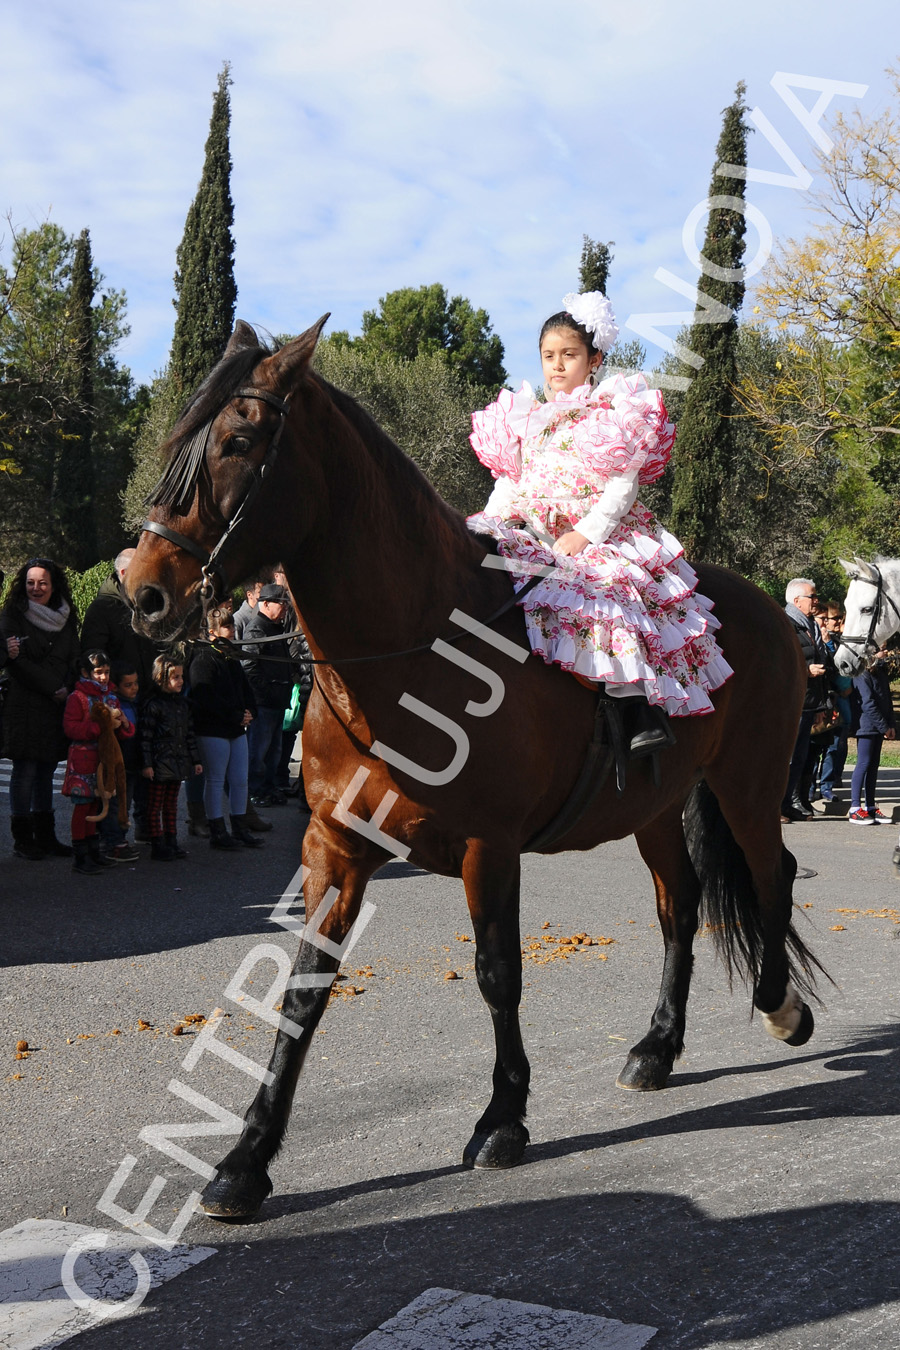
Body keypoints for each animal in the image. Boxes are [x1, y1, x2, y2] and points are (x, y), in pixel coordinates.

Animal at [124, 318, 825, 1225]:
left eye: (238, 442)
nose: (140, 592)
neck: (414, 651)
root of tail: (771, 610)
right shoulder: (334, 848)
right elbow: (303, 989)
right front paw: (244, 1162)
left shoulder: (488, 847)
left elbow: (499, 975)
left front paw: (503, 1119)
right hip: (655, 810)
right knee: (681, 905)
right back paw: (657, 1047)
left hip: (749, 782)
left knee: (771, 877)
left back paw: (782, 1007)